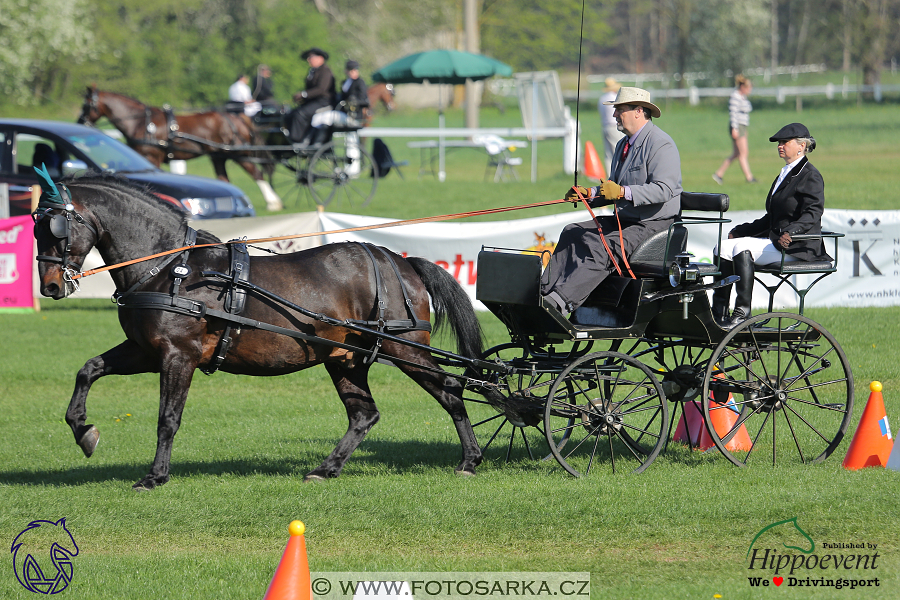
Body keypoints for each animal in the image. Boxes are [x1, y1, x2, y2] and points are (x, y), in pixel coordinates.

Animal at [31, 172, 486, 488]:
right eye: (34, 226)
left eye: (56, 228)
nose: (50, 286)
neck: (172, 267)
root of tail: (399, 260)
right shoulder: (146, 350)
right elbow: (88, 369)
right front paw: (83, 431)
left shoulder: (178, 354)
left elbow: (168, 418)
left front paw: (155, 476)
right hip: (346, 358)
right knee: (364, 414)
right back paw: (326, 468)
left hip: (405, 348)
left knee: (451, 389)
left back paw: (470, 460)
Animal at [77, 86, 284, 211]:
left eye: (86, 104)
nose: (80, 122)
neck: (141, 122)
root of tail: (237, 118)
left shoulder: (151, 157)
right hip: (218, 157)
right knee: (225, 179)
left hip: (239, 154)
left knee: (257, 174)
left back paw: (273, 202)